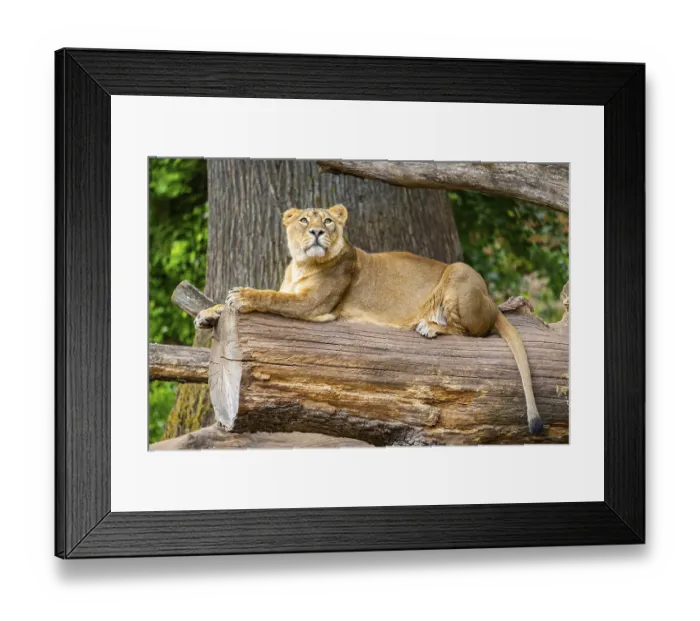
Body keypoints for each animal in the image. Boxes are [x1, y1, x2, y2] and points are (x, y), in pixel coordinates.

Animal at [195, 204, 543, 434]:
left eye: (329, 221)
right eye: (305, 219)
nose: (317, 232)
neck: (301, 265)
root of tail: (491, 300)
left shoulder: (312, 305)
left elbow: (270, 296)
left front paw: (242, 296)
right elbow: (235, 302)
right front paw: (207, 314)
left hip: (459, 271)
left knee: (471, 333)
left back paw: (430, 325)